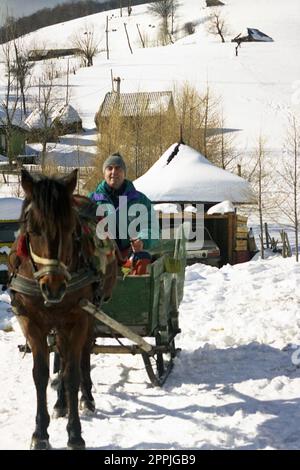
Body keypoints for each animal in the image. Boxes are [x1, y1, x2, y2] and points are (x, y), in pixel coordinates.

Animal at [8, 170, 116, 452]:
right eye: (32, 230)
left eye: (70, 229)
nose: (54, 287)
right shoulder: (32, 323)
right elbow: (41, 375)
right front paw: (40, 433)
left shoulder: (78, 319)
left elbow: (72, 374)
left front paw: (75, 434)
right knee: (62, 357)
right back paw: (60, 403)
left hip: (89, 314)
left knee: (82, 355)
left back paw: (85, 397)